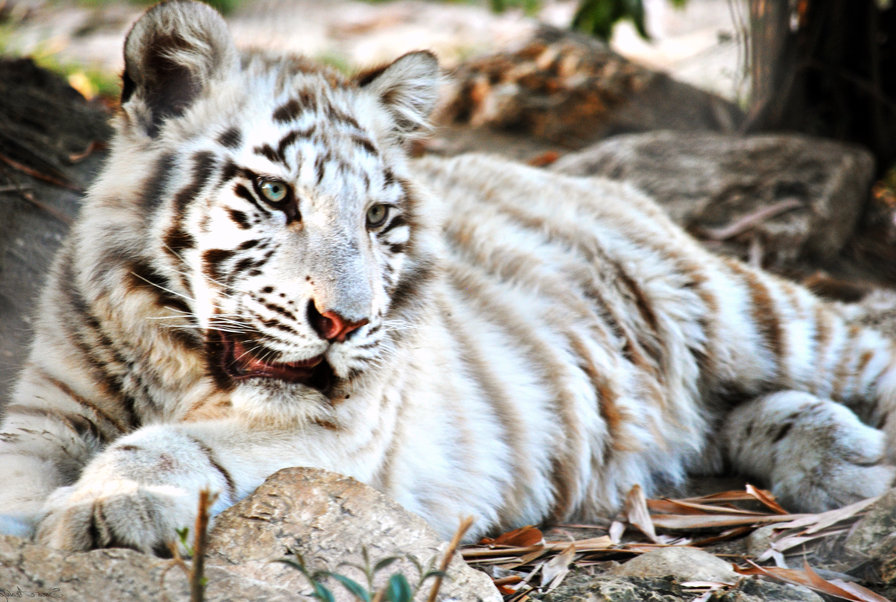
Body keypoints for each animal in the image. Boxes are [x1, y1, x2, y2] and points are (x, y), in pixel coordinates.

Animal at [1, 0, 894, 555]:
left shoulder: (333, 430)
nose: (346, 324)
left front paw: (102, 507)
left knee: (864, 347)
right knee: (739, 413)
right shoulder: (50, 410)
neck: (178, 356)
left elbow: (174, 443)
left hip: (746, 309)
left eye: (377, 217)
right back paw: (845, 460)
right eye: (274, 194)